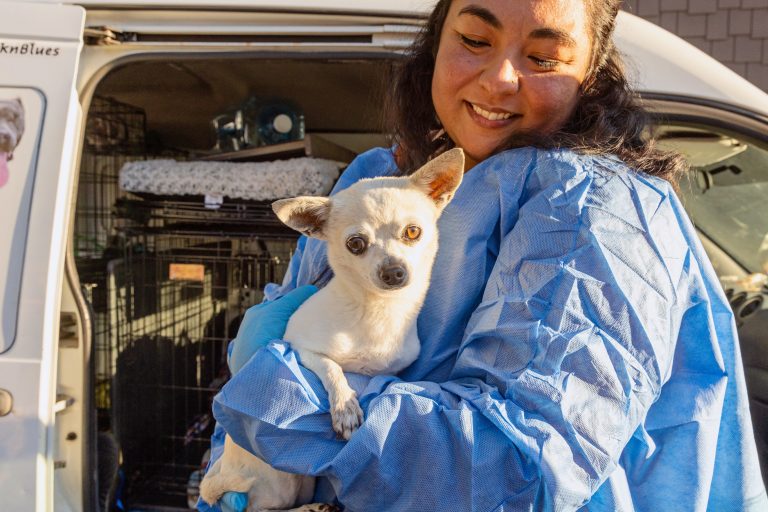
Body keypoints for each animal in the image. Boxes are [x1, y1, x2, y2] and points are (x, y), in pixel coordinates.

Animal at [200, 148, 462, 512]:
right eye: (355, 244)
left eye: (413, 232)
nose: (394, 271)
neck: (377, 311)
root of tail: (222, 471)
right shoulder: (298, 348)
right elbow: (332, 368)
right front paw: (346, 408)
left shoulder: (395, 367)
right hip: (278, 480)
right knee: (260, 508)